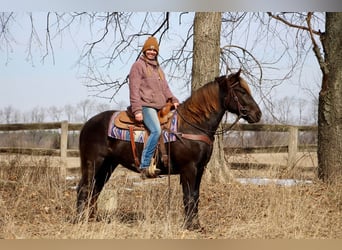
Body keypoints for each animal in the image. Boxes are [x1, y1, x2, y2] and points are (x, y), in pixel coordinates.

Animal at [75, 69, 262, 229]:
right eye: (242, 91)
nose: (258, 114)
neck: (192, 125)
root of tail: (87, 124)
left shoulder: (200, 169)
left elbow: (196, 196)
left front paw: (197, 225)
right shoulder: (189, 169)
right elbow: (189, 196)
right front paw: (190, 226)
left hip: (108, 165)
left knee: (95, 189)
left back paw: (91, 219)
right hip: (94, 163)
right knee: (84, 188)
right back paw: (80, 220)